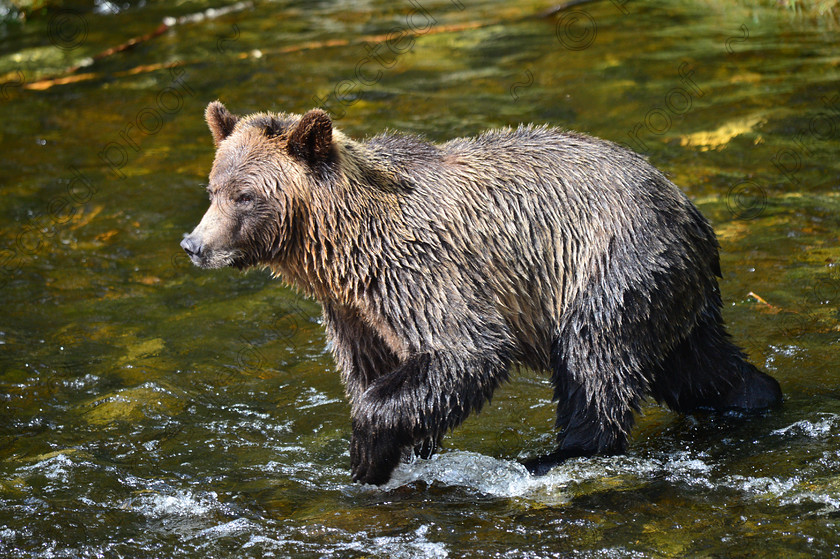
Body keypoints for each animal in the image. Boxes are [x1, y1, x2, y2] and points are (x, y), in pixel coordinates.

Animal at [180, 100, 784, 486]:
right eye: (213, 189)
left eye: (244, 195)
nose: (194, 244)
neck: (344, 246)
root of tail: (690, 211)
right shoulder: (355, 311)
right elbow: (375, 371)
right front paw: (404, 449)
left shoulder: (422, 270)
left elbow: (469, 350)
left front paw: (368, 453)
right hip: (672, 292)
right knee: (698, 363)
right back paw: (755, 395)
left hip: (610, 264)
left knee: (594, 361)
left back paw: (557, 455)